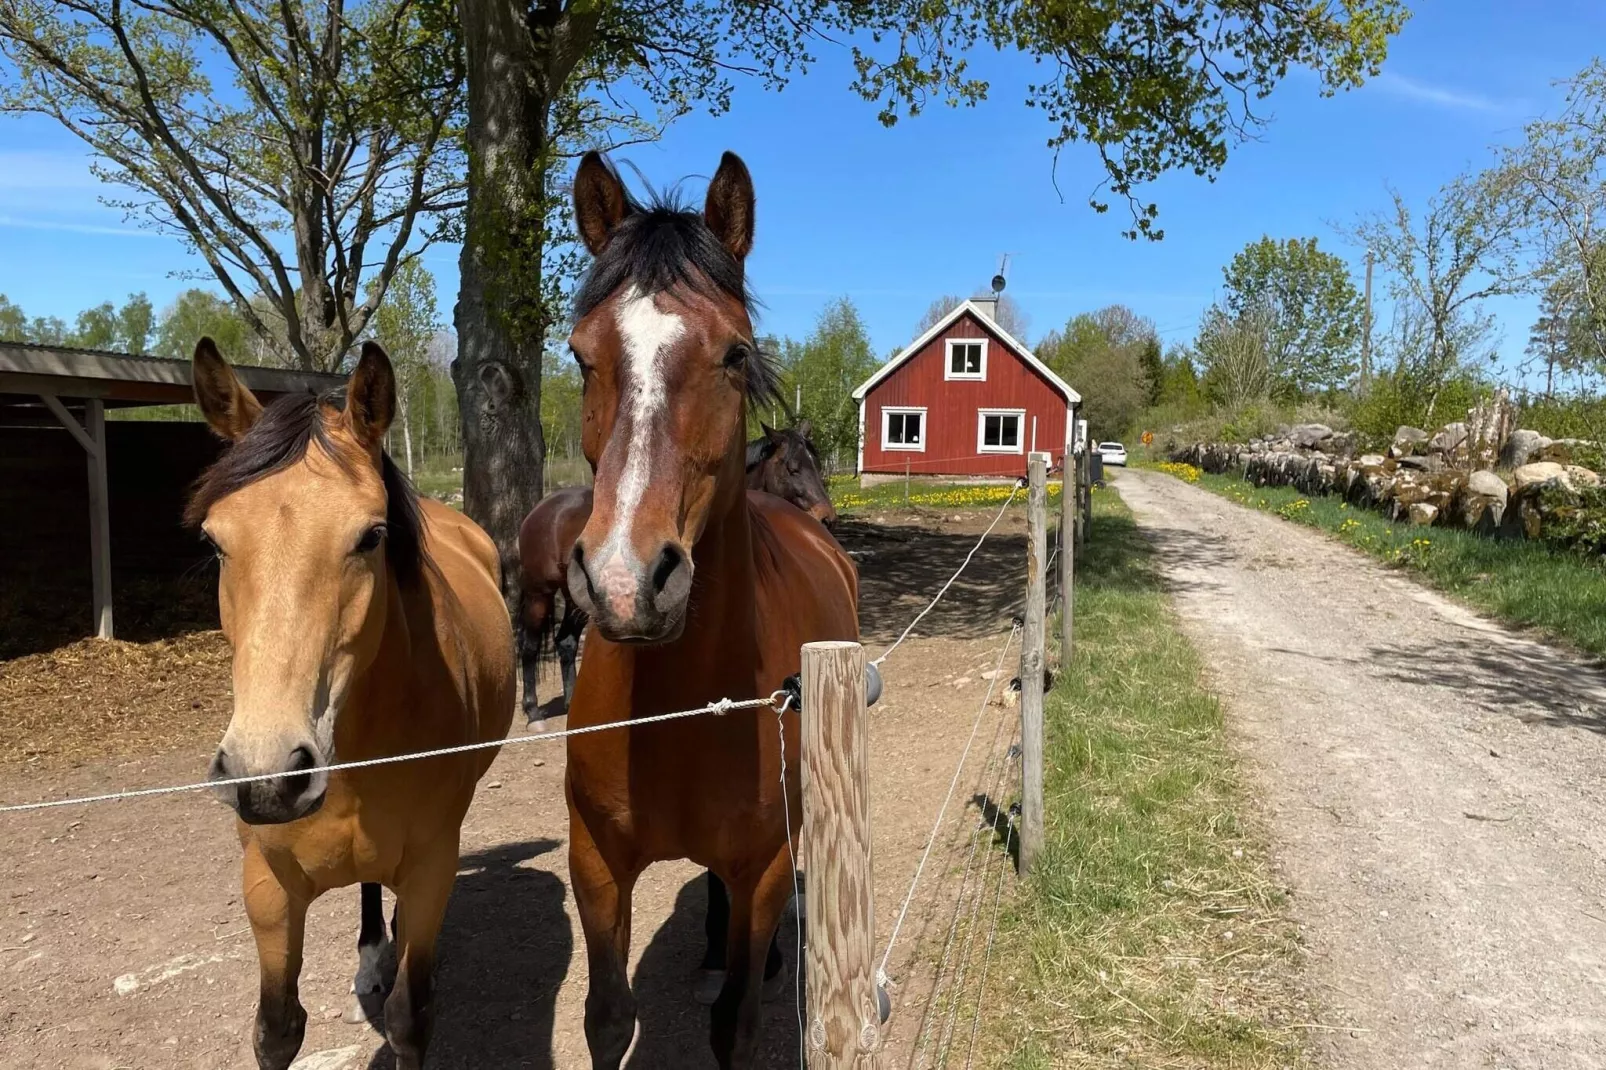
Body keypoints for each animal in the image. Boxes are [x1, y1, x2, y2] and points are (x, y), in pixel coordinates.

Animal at [187, 335, 513, 1066]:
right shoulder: (268, 888)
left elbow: (410, 1017)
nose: (266, 777)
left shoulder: (430, 869)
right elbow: (277, 1028)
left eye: (370, 536)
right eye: (214, 542)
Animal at [565, 151, 867, 1066]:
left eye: (735, 354)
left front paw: (748, 972)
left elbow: (734, 1023)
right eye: (581, 355)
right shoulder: (594, 865)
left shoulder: (763, 867)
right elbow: (606, 1016)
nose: (626, 578)